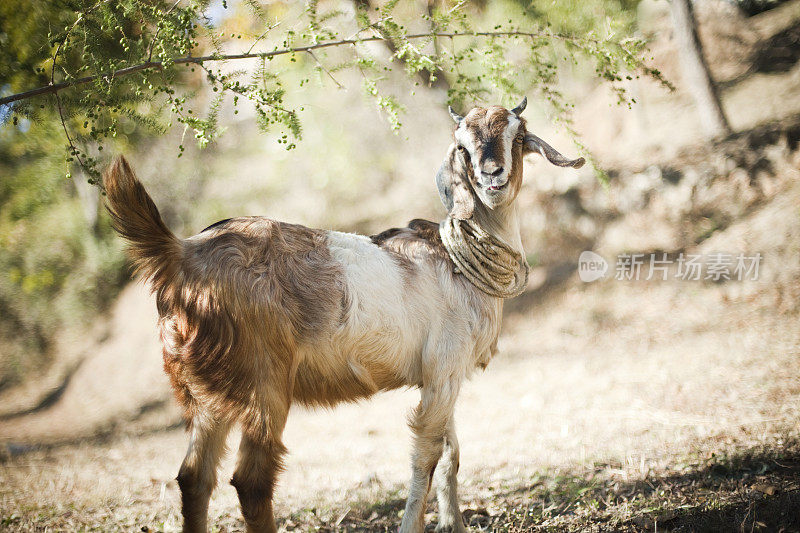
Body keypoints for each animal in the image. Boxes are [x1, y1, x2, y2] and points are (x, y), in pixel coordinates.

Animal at [103, 98, 584, 532]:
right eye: (462, 147)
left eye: (517, 137)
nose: (491, 174)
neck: (453, 262)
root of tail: (181, 254)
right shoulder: (444, 370)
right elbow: (427, 456)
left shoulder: (444, 375)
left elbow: (451, 455)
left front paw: (455, 526)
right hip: (264, 383)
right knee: (252, 480)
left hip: (207, 393)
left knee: (194, 478)